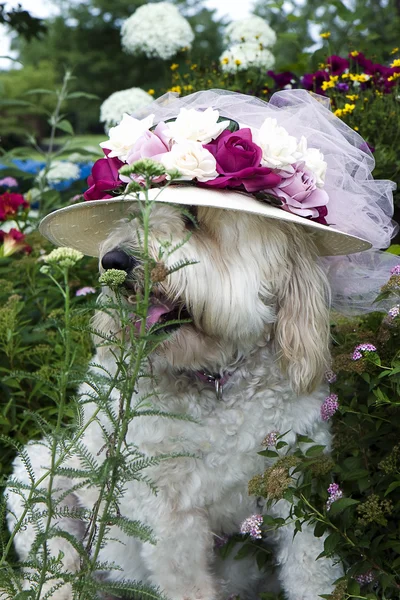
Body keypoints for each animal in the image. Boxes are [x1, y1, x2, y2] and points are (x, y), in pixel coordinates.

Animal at [7, 203, 342, 600]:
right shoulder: (171, 523)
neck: (218, 382)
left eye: (192, 217)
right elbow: (187, 584)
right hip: (40, 480)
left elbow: (313, 573)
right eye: (134, 211)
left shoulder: (295, 491)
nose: (113, 260)